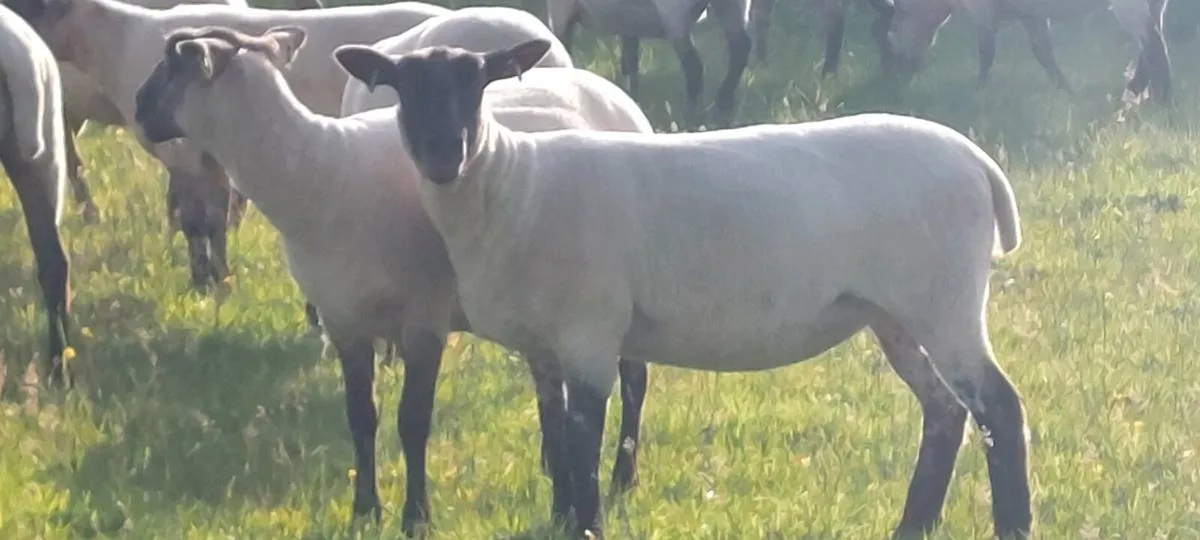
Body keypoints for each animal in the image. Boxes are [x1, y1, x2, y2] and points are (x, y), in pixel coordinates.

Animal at [5, 0, 450, 289]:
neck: (113, 44)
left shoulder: (186, 152)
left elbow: (198, 220)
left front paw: (207, 282)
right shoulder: (207, 159)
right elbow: (206, 218)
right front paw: (216, 276)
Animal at [133, 25, 654, 534]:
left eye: (172, 67)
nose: (138, 109)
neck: (319, 175)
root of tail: (604, 84)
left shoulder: (424, 317)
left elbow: (413, 421)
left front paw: (415, 517)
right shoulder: (342, 319)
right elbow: (361, 416)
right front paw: (365, 511)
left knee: (634, 380)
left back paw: (623, 476)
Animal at [343, 38, 1034, 539]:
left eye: (479, 85)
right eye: (403, 89)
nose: (443, 157)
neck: (512, 185)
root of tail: (979, 163)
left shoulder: (590, 333)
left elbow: (582, 444)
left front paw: (588, 526)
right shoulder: (544, 346)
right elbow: (558, 440)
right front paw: (565, 518)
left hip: (943, 300)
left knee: (998, 408)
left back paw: (1012, 525)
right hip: (893, 313)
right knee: (945, 411)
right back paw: (913, 525)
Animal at [546, 0, 752, 127]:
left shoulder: (561, 10)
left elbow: (562, 45)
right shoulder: (628, 21)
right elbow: (630, 60)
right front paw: (632, 98)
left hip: (674, 13)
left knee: (694, 65)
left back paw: (691, 115)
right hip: (731, 5)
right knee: (740, 50)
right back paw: (722, 108)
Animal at [885, 0, 1172, 103]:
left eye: (884, 36)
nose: (893, 83)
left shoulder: (982, 11)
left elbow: (986, 53)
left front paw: (978, 94)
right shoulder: (1031, 15)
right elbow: (1043, 52)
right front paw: (1068, 93)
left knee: (1153, 44)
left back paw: (1161, 102)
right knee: (1152, 42)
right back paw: (1138, 92)